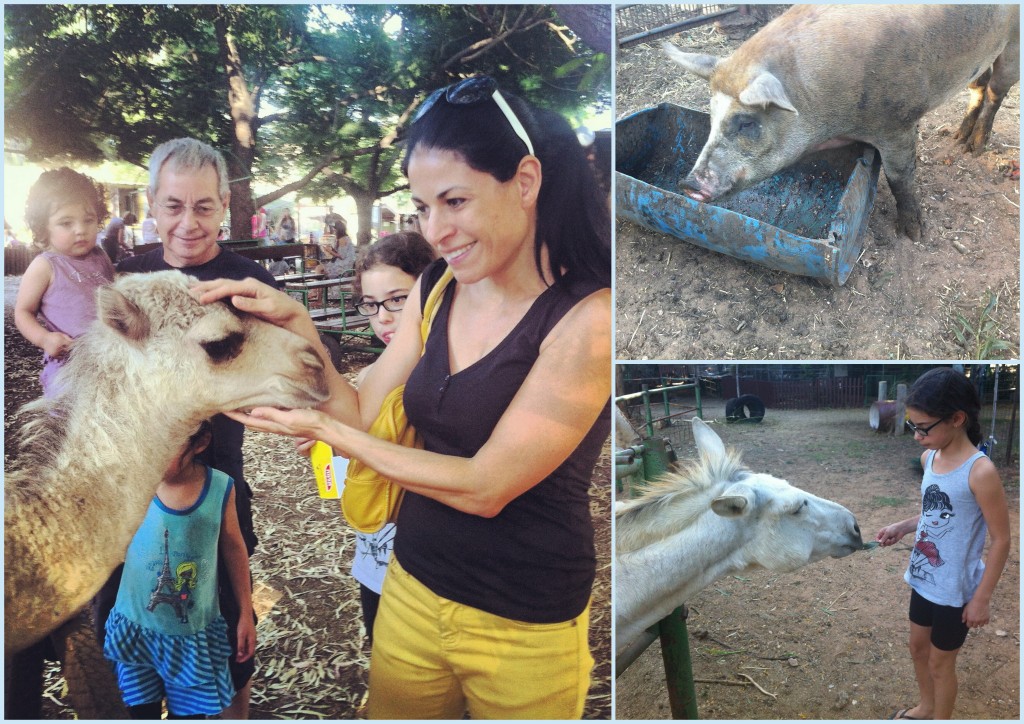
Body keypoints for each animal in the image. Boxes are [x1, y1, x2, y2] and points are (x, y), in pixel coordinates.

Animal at [663, 4, 1015, 241]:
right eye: (711, 115)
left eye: (746, 122)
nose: (688, 184)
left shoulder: (898, 121)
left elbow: (900, 178)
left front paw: (913, 235)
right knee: (979, 87)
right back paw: (958, 139)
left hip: (1012, 48)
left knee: (996, 91)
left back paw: (975, 148)